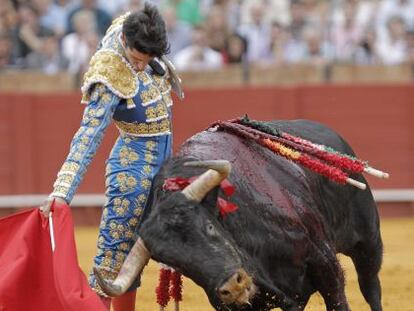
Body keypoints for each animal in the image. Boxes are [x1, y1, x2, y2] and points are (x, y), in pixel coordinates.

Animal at [95, 120, 384, 311]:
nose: (232, 287)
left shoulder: (325, 264)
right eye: (175, 264)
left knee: (370, 286)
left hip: (367, 241)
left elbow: (338, 300)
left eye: (210, 228)